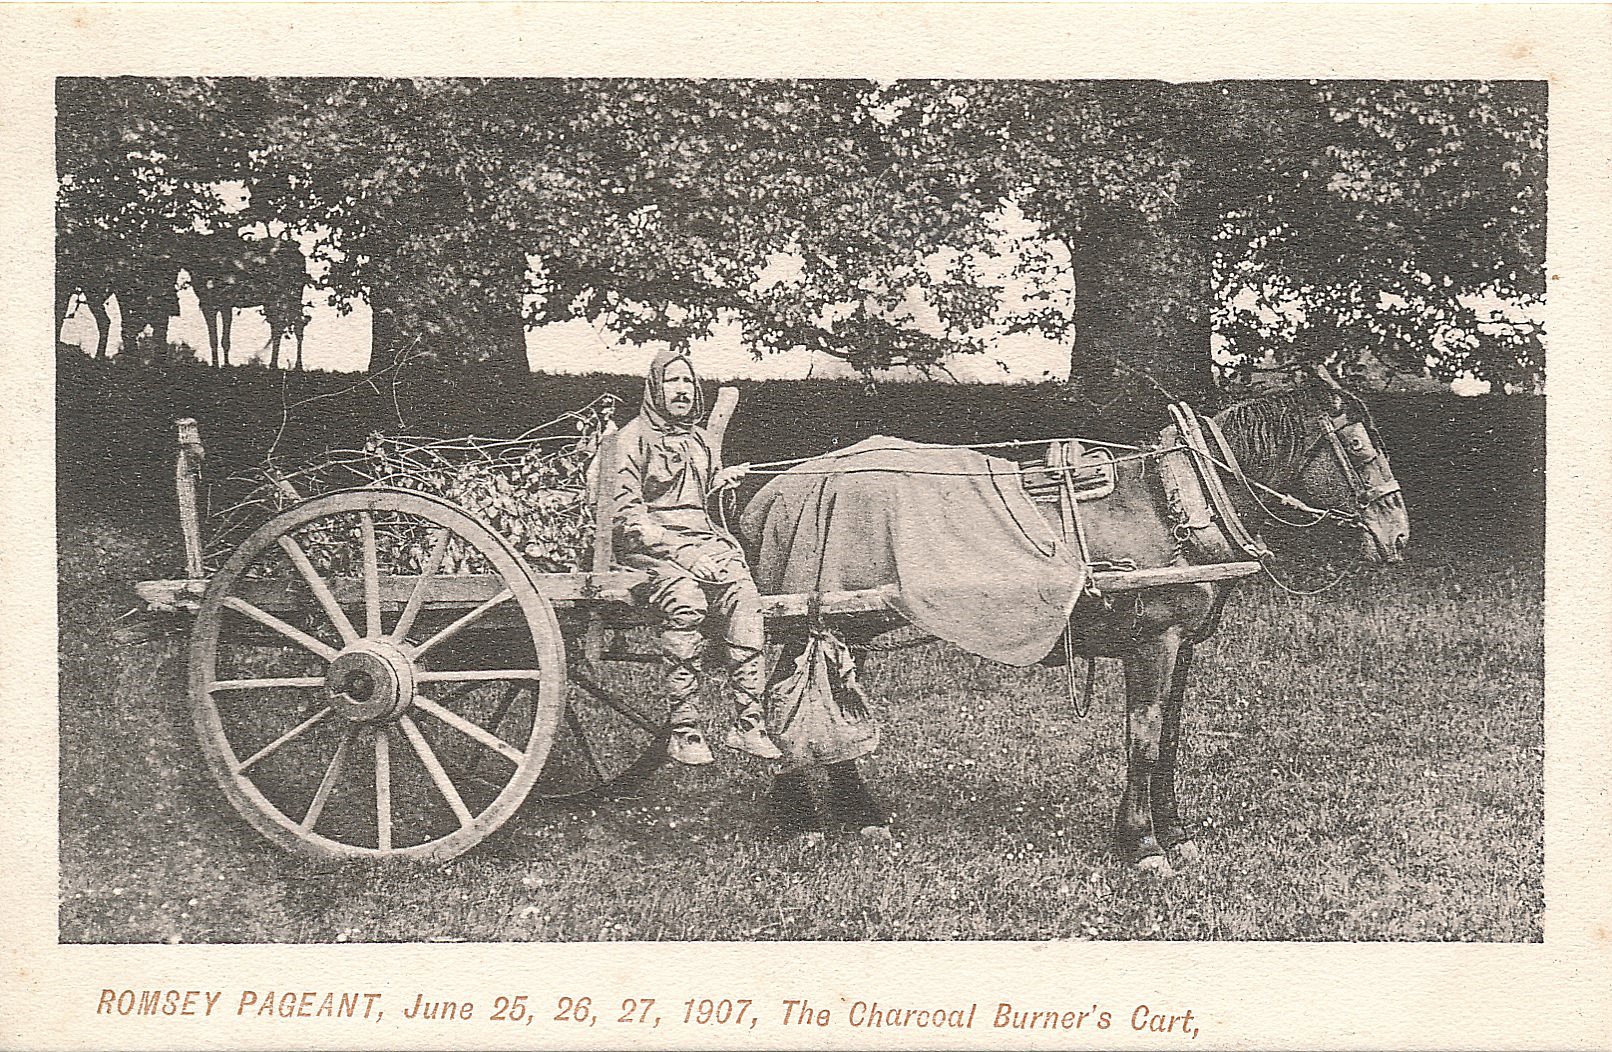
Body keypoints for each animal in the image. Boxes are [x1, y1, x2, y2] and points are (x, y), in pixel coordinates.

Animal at [760, 373, 1405, 876]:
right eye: (1359, 446)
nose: (1398, 535)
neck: (1173, 504)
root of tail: (774, 490)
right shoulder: (1153, 643)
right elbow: (1144, 738)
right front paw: (1143, 844)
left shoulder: (1183, 646)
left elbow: (1170, 738)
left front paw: (1174, 833)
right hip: (811, 620)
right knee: (782, 705)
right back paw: (801, 821)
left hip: (847, 626)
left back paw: (860, 818)